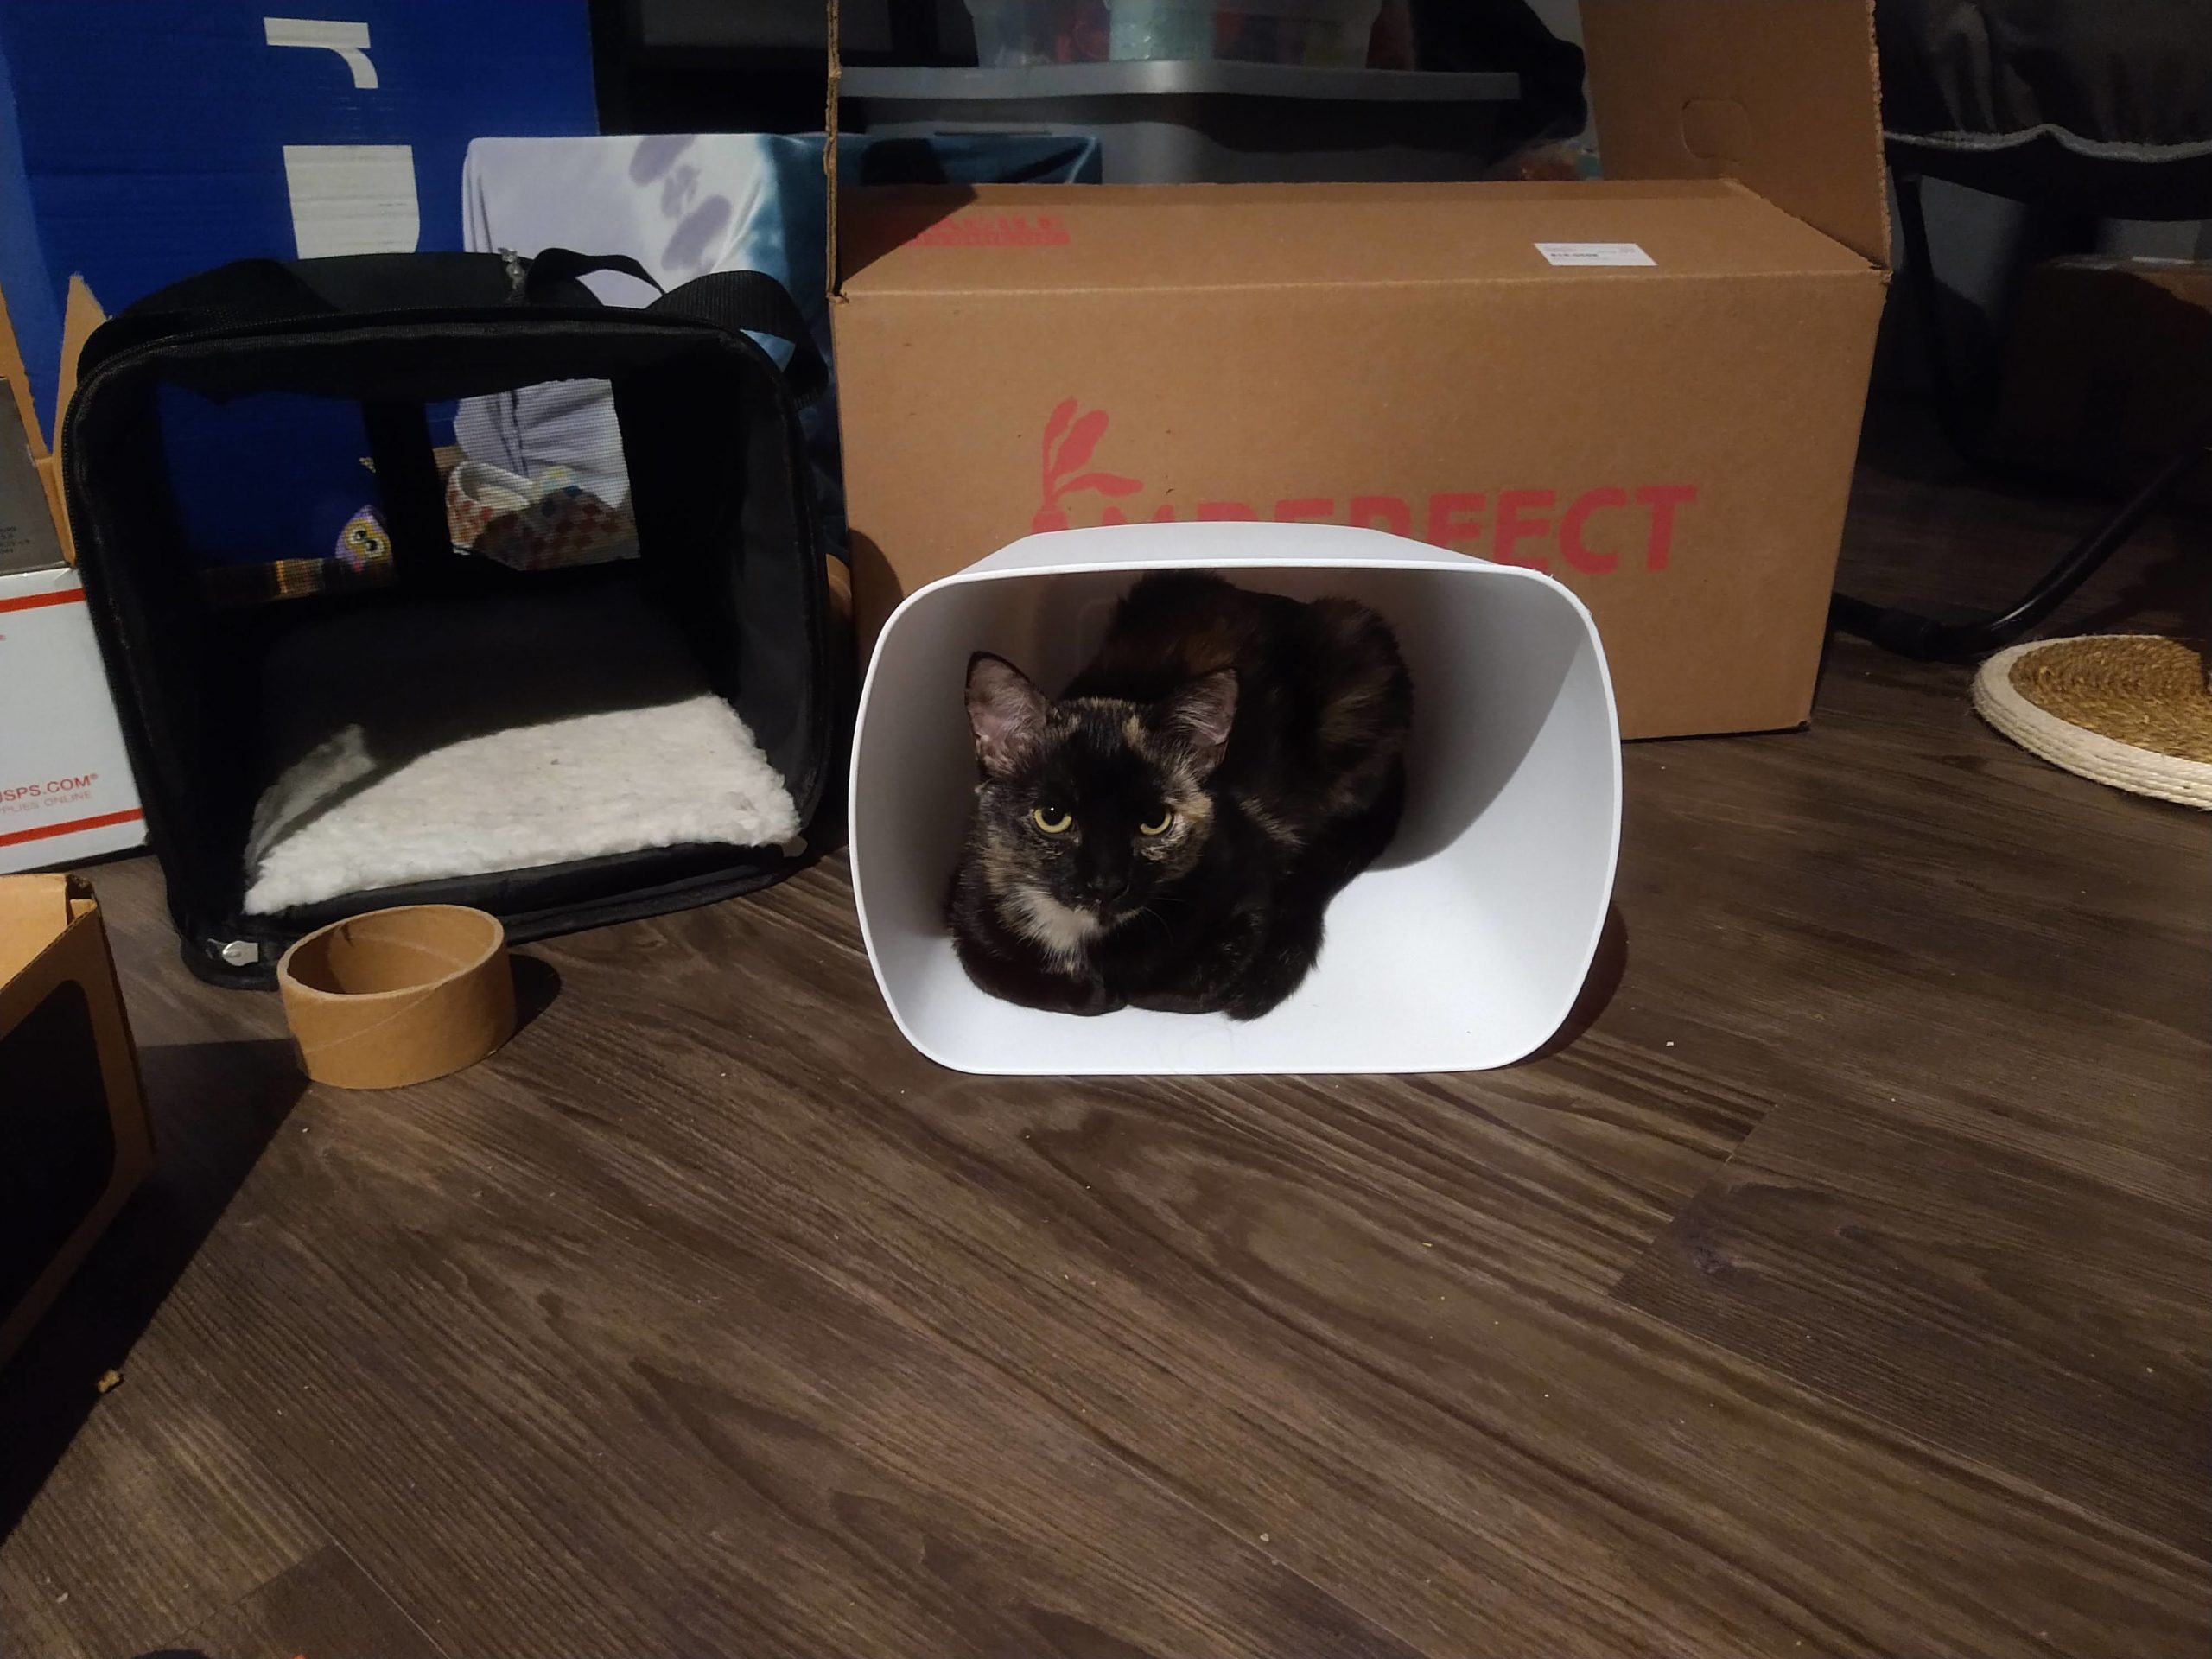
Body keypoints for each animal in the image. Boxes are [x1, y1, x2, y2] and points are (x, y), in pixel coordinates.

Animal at [946, 570, 1397, 1021]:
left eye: (1155, 821)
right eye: (1052, 816)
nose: (1106, 884)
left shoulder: (1249, 906)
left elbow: (1176, 990)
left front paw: (1117, 988)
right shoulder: (967, 896)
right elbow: (991, 970)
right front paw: (1093, 993)